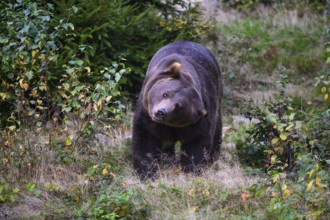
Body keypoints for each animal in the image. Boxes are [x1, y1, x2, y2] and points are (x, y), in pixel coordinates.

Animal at [131, 40, 222, 179]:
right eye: (165, 94)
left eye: (178, 106)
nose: (161, 112)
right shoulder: (146, 113)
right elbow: (145, 139)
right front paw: (146, 172)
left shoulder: (199, 121)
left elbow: (196, 144)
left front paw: (191, 170)